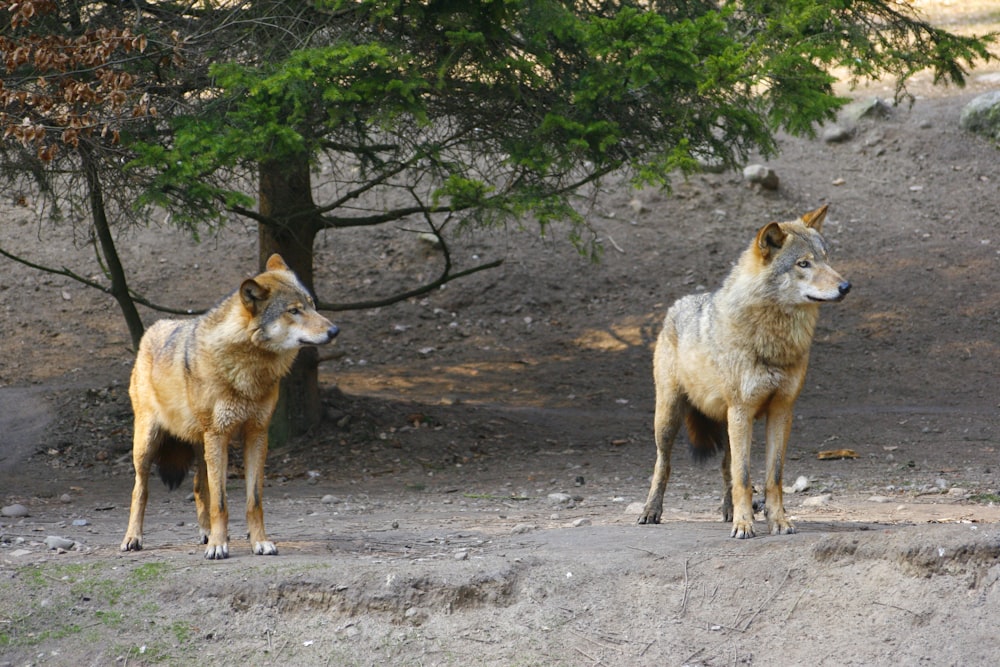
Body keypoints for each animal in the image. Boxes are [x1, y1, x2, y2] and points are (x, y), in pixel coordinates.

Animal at [119, 254, 340, 560]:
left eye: (312, 304)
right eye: (294, 311)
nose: (334, 330)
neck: (248, 369)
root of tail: (153, 328)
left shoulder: (256, 435)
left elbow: (253, 500)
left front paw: (258, 542)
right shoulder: (219, 435)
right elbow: (220, 503)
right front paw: (218, 546)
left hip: (202, 445)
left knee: (199, 487)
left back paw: (205, 533)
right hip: (149, 445)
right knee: (140, 490)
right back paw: (133, 538)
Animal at [636, 206, 848, 540]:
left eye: (826, 258)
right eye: (803, 263)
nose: (845, 286)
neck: (773, 338)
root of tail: (676, 304)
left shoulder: (781, 411)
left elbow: (772, 476)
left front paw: (778, 521)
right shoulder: (742, 410)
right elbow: (745, 476)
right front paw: (745, 524)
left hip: (726, 423)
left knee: (726, 467)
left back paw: (728, 510)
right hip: (670, 418)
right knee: (663, 465)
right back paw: (651, 511)